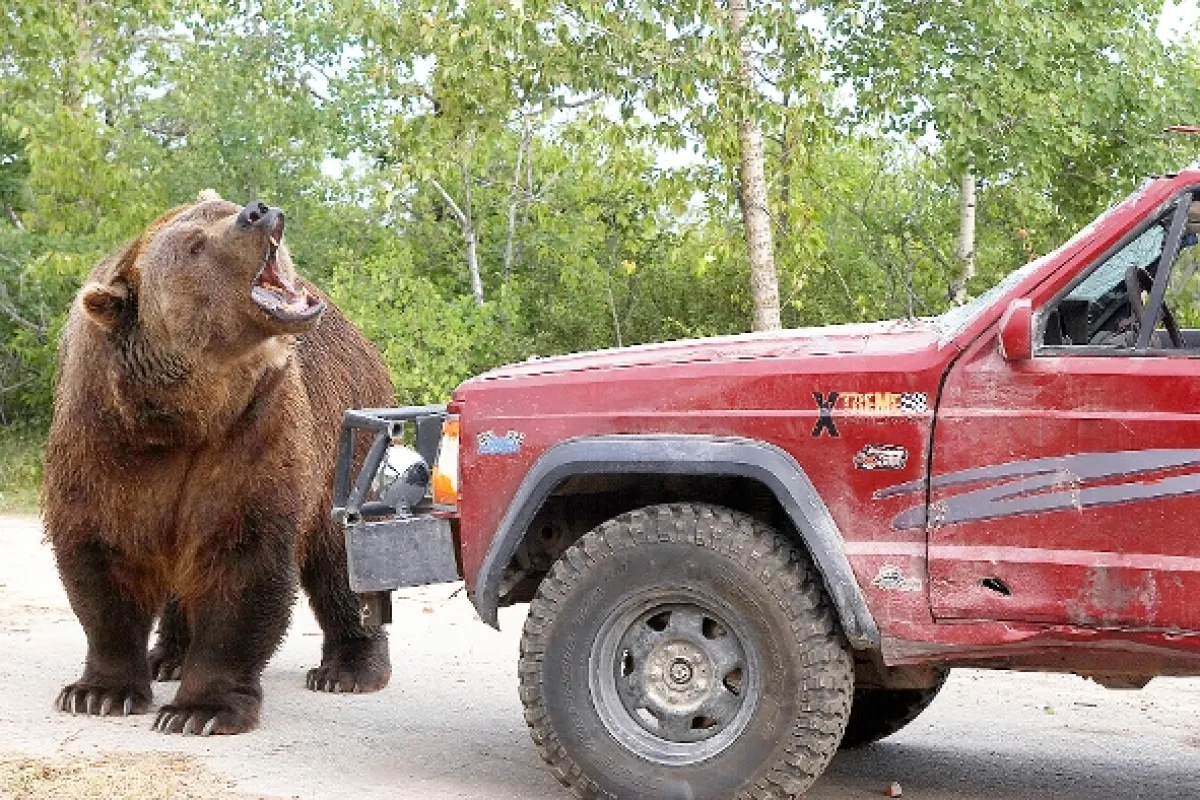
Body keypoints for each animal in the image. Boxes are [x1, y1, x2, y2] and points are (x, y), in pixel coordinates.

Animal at [42, 190, 395, 735]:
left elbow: (240, 555)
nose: (257, 211)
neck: (181, 417)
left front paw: (200, 710)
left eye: (225, 209)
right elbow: (102, 553)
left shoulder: (251, 429)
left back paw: (349, 670)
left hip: (345, 434)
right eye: (193, 245)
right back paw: (166, 657)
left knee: (340, 557)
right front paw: (97, 692)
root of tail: (361, 340)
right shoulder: (102, 435)